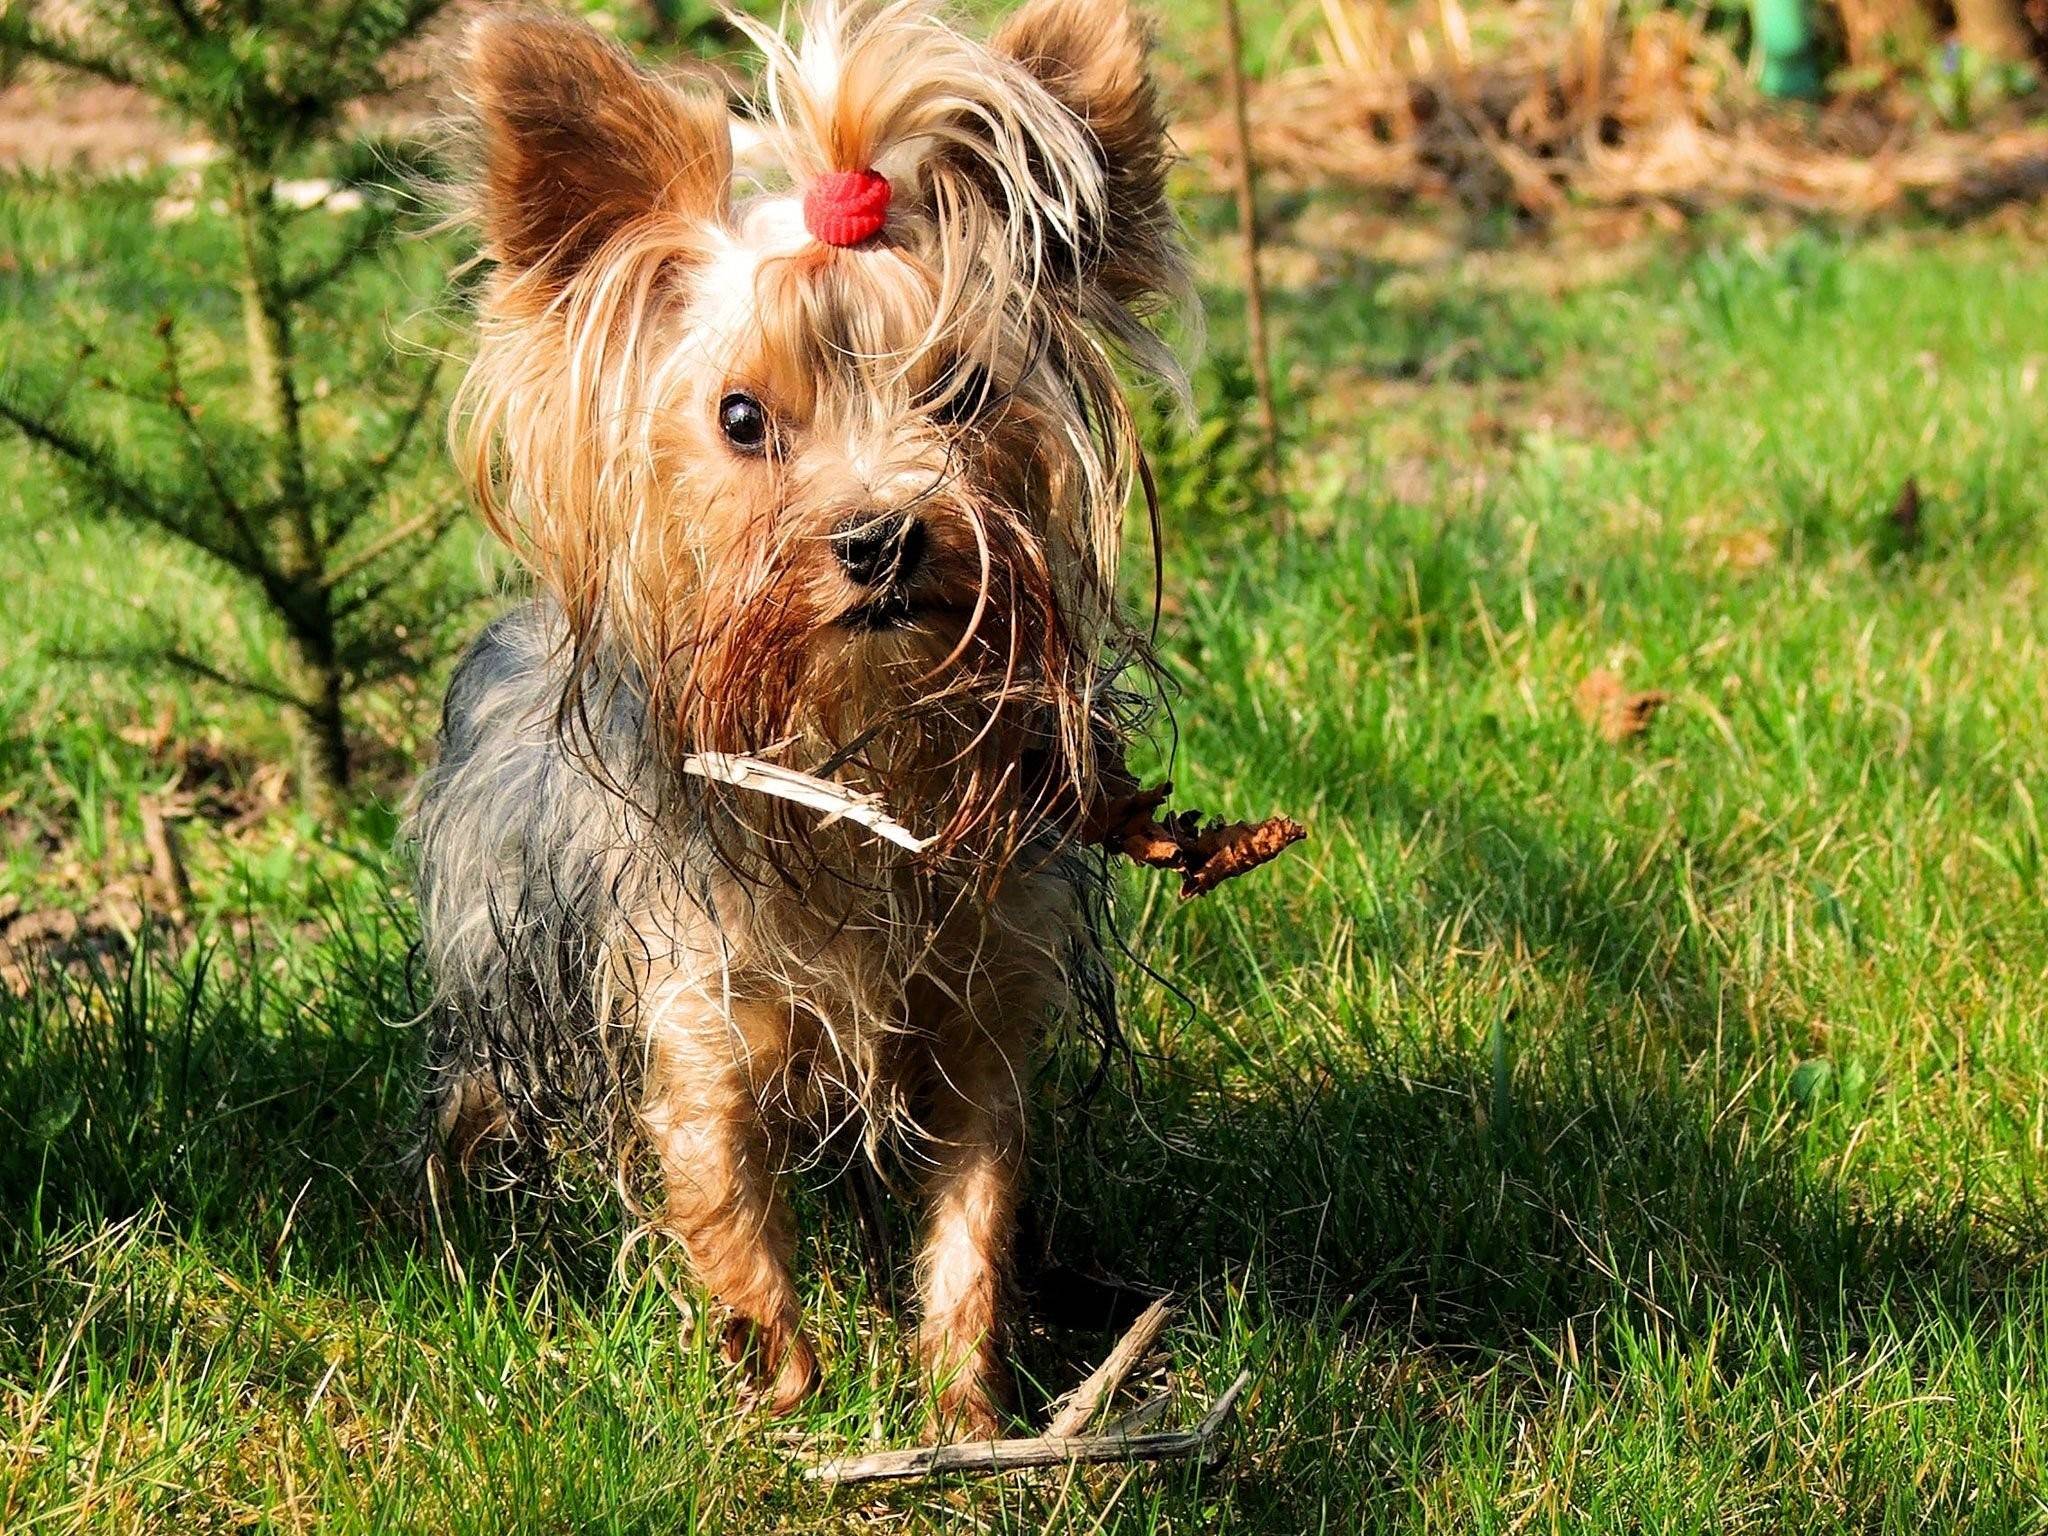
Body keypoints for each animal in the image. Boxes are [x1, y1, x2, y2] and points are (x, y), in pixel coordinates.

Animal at [409, 0, 1196, 1441]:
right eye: (738, 418)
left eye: (960, 393)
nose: (882, 535)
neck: (858, 751)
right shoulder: (695, 1016)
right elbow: (724, 1205)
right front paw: (779, 1402)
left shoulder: (980, 1019)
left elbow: (973, 1219)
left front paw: (963, 1415)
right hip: (500, 964)